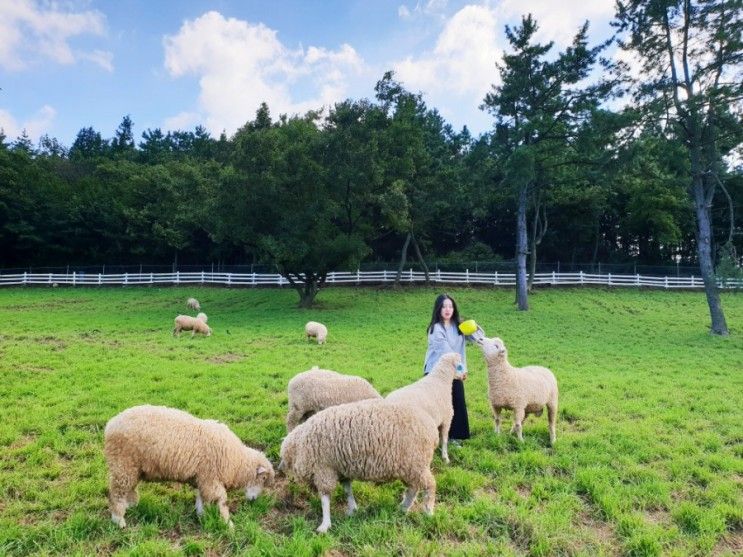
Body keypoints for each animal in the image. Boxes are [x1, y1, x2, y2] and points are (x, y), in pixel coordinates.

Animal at [105, 404, 276, 524]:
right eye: (262, 479)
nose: (253, 501)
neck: (236, 462)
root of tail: (111, 424)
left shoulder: (203, 478)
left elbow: (201, 498)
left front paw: (201, 516)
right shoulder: (211, 478)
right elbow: (220, 500)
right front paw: (228, 523)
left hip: (132, 468)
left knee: (128, 489)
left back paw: (131, 506)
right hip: (122, 465)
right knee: (117, 493)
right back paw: (118, 520)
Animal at [282, 398, 438, 532]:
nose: (281, 471)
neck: (300, 445)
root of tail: (432, 429)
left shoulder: (324, 469)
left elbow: (325, 498)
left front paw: (325, 524)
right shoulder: (341, 469)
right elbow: (347, 490)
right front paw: (352, 510)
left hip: (416, 463)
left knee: (430, 485)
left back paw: (428, 511)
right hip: (410, 467)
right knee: (413, 488)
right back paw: (404, 507)